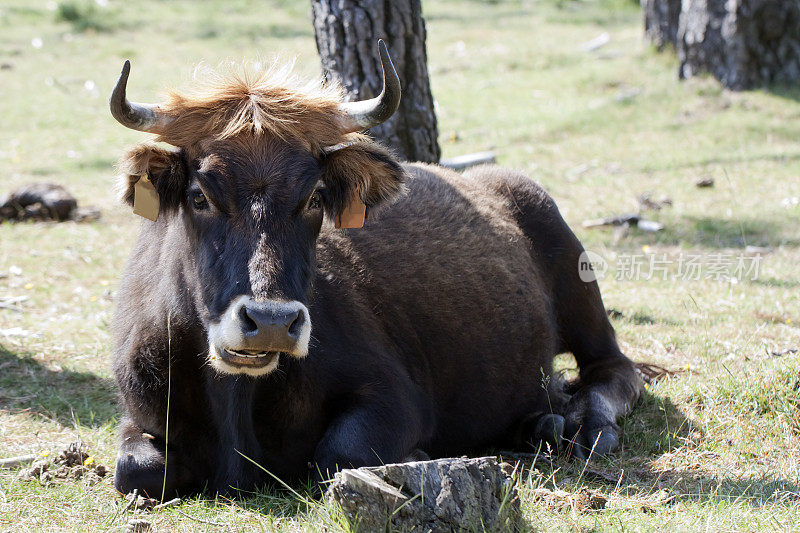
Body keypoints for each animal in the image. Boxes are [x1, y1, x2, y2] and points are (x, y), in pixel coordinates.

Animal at [109, 42, 644, 498]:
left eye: (314, 197)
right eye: (200, 196)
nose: (272, 322)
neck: (237, 398)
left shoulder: (395, 397)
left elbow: (338, 455)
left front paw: (420, 455)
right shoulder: (139, 415)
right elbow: (133, 468)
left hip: (581, 291)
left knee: (615, 369)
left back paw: (581, 426)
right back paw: (541, 424)